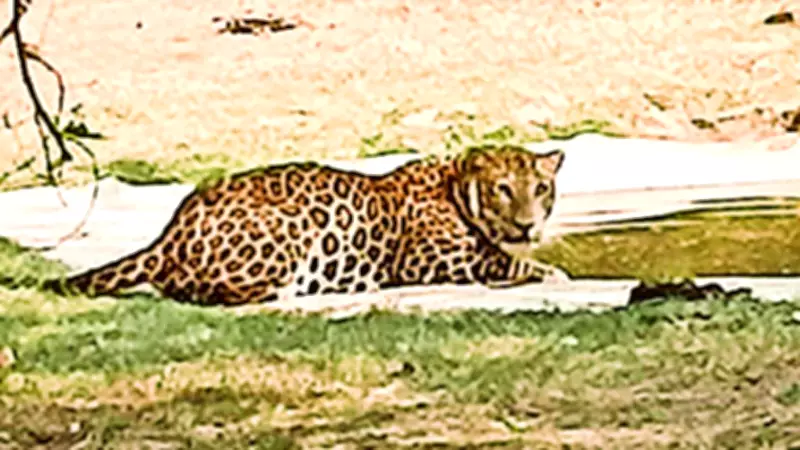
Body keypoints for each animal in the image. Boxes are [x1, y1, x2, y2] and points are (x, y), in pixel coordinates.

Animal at [42, 144, 570, 306]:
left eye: (541, 189)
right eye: (504, 189)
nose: (528, 226)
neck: (455, 185)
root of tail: (170, 231)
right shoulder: (434, 259)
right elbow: (504, 261)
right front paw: (550, 272)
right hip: (287, 230)